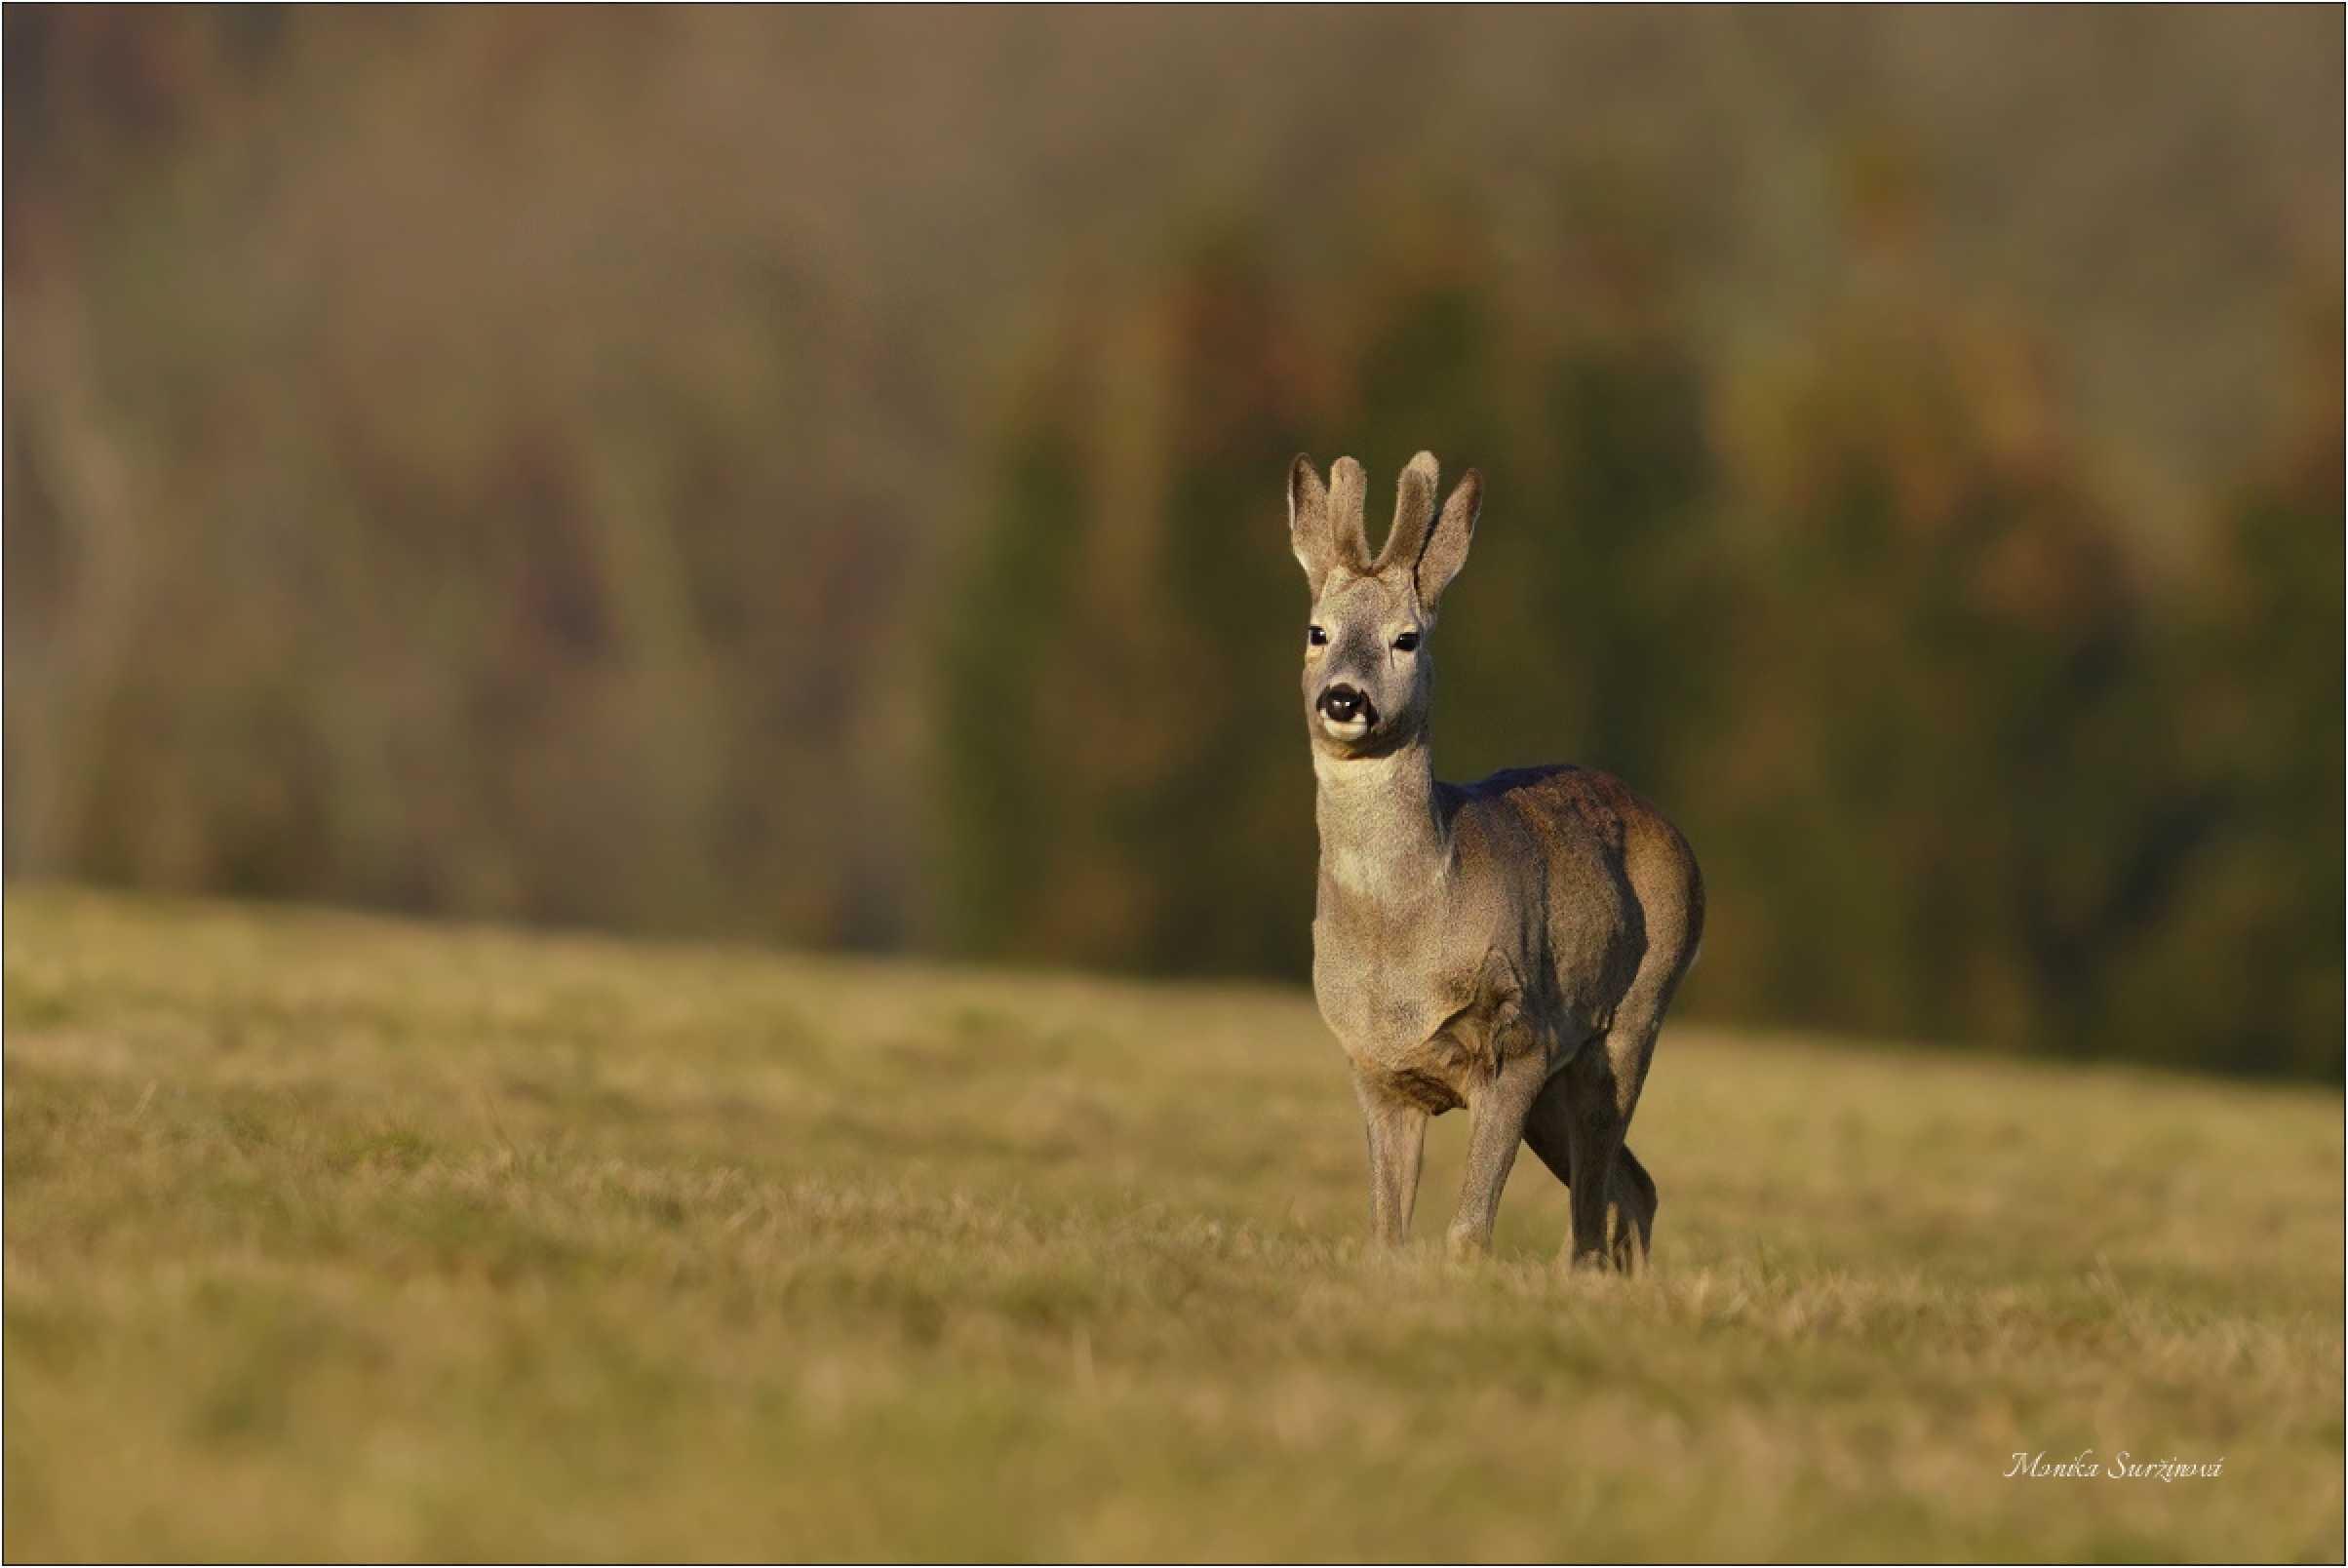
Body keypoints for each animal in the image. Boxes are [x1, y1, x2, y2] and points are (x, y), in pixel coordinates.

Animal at [1286, 452, 1709, 1276]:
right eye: (1317, 631)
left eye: (1407, 638)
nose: (1345, 699)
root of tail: (1678, 838)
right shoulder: (1373, 1066)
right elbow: (1386, 1230)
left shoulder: (1519, 1038)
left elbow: (1469, 1230)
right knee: (1635, 1185)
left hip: (1630, 1018)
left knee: (1600, 1195)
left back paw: (1589, 1278)